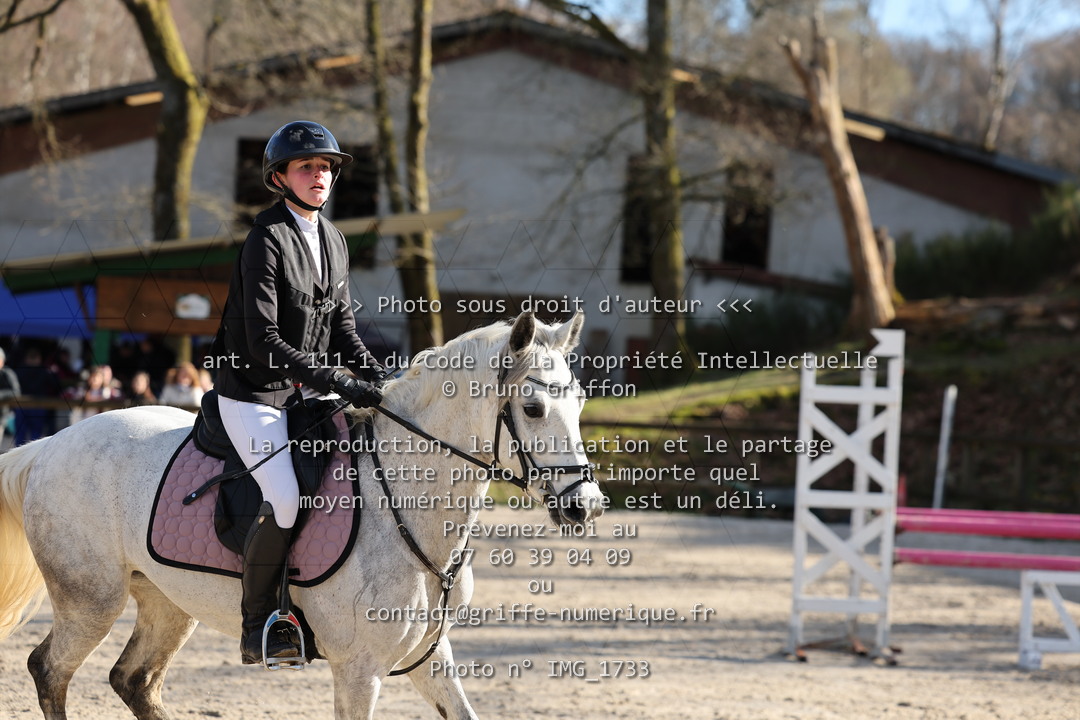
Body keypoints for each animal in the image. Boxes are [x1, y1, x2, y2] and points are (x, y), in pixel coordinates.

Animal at [0, 311, 605, 720]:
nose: (586, 505)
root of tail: (52, 443)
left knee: (135, 680)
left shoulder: (431, 657)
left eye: (578, 402)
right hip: (91, 601)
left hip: (168, 603)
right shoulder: (359, 671)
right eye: (533, 408)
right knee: (50, 670)